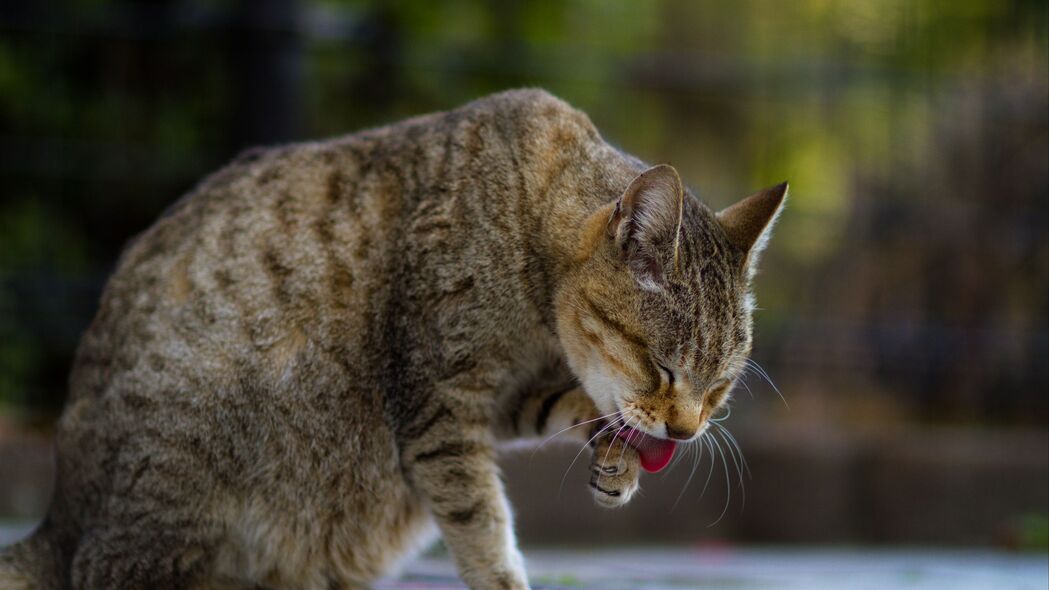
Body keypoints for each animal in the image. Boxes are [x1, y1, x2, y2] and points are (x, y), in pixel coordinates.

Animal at [0, 88, 784, 587]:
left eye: (719, 386)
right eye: (661, 367)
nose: (685, 432)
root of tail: (57, 523)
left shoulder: (494, 401)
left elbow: (567, 406)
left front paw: (613, 457)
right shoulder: (437, 405)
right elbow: (482, 526)